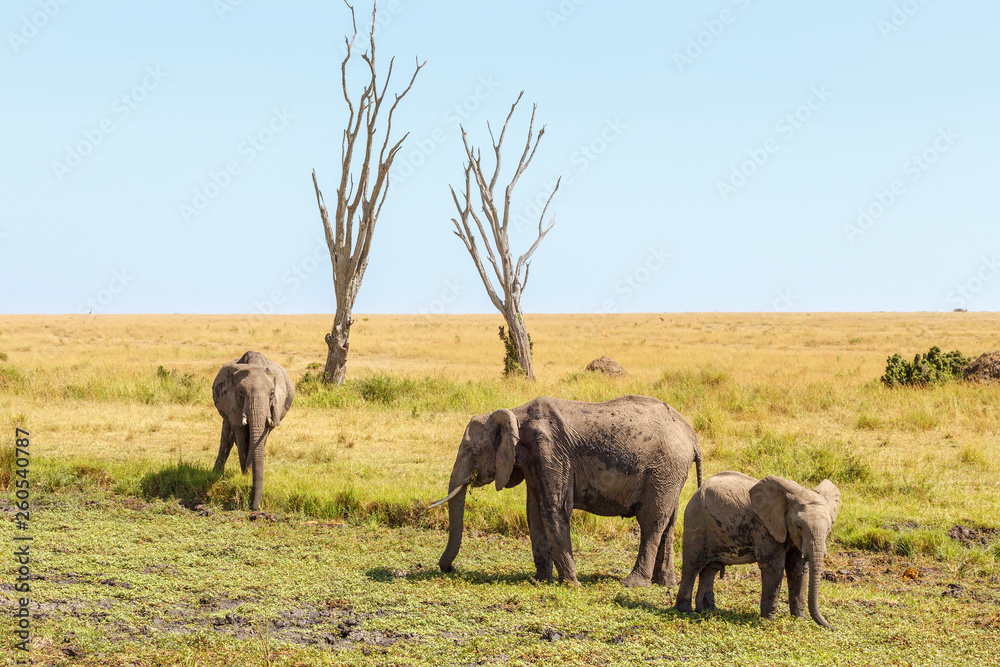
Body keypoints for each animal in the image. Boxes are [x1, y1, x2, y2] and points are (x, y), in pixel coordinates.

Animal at [212, 351, 294, 511]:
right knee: (227, 436)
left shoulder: (273, 407)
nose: (254, 508)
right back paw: (216, 474)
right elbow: (240, 435)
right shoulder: (233, 404)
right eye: (241, 392)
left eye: (272, 393)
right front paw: (245, 476)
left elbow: (259, 437)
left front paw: (247, 475)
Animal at [432, 395, 702, 587]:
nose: (450, 569)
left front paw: (572, 584)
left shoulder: (551, 451)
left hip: (664, 469)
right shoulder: (534, 461)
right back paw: (664, 584)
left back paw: (633, 584)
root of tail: (692, 435)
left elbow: (554, 509)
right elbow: (534, 512)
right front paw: (540, 580)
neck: (516, 414)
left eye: (472, 451)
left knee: (651, 522)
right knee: (669, 523)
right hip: (671, 474)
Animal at [675, 472, 841, 629]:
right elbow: (774, 566)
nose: (832, 627)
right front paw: (768, 621)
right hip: (696, 521)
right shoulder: (764, 527)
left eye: (828, 528)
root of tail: (698, 491)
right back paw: (684, 612)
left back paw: (708, 611)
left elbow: (797, 567)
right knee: (692, 566)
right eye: (799, 526)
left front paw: (800, 619)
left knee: (711, 569)